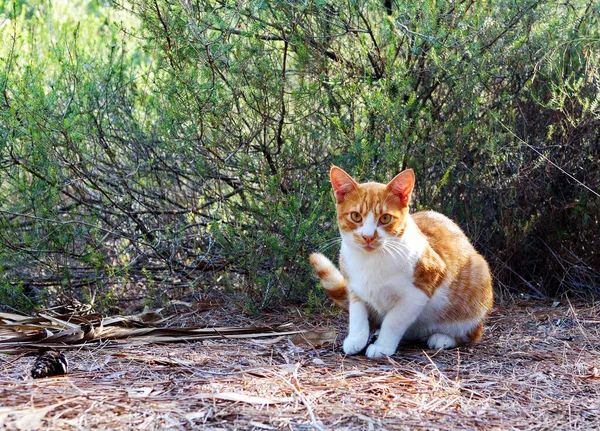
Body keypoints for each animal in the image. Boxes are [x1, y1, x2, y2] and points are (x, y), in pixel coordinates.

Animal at [310, 167, 492, 360]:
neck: (371, 261)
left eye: (385, 218)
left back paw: (443, 338)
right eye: (356, 216)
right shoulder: (354, 288)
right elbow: (357, 315)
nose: (368, 236)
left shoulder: (418, 292)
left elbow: (393, 321)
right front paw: (357, 338)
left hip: (479, 274)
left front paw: (382, 346)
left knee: (470, 334)